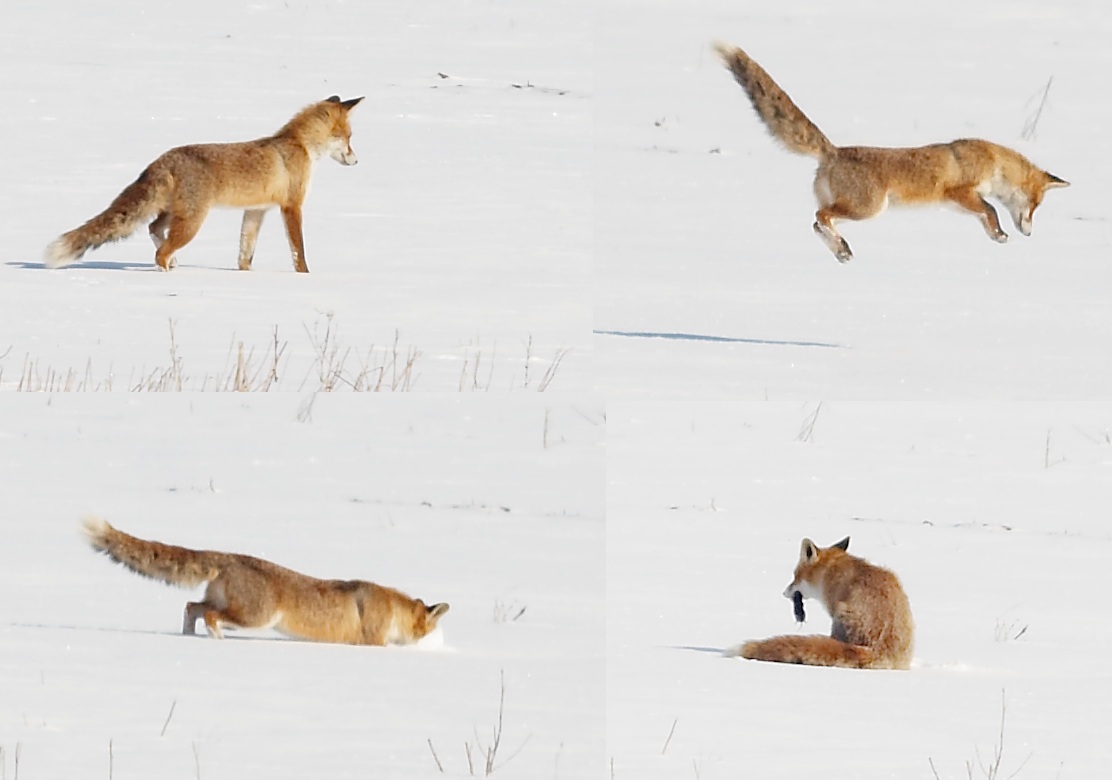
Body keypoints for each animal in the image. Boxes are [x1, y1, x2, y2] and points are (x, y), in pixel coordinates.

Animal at [45, 95, 363, 273]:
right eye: (347, 138)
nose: (357, 161)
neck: (300, 145)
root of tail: (163, 158)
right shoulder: (291, 206)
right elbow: (299, 251)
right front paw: (305, 277)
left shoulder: (256, 211)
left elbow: (245, 251)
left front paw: (245, 275)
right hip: (193, 221)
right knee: (160, 250)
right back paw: (167, 271)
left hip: (174, 213)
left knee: (153, 229)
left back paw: (172, 262)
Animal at [82, 517, 449, 646]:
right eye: (431, 628)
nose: (437, 643)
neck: (391, 609)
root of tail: (230, 556)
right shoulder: (372, 641)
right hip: (256, 618)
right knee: (209, 615)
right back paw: (216, 639)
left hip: (226, 605)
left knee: (191, 606)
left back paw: (189, 636)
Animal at [713, 42, 1068, 262]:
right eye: (1035, 205)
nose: (1030, 233)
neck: (992, 163)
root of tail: (833, 151)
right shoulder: (960, 191)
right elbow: (992, 210)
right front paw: (1002, 234)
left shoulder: (958, 203)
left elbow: (986, 216)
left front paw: (996, 236)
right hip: (868, 209)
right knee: (820, 216)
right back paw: (840, 247)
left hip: (856, 209)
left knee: (816, 222)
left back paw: (841, 250)